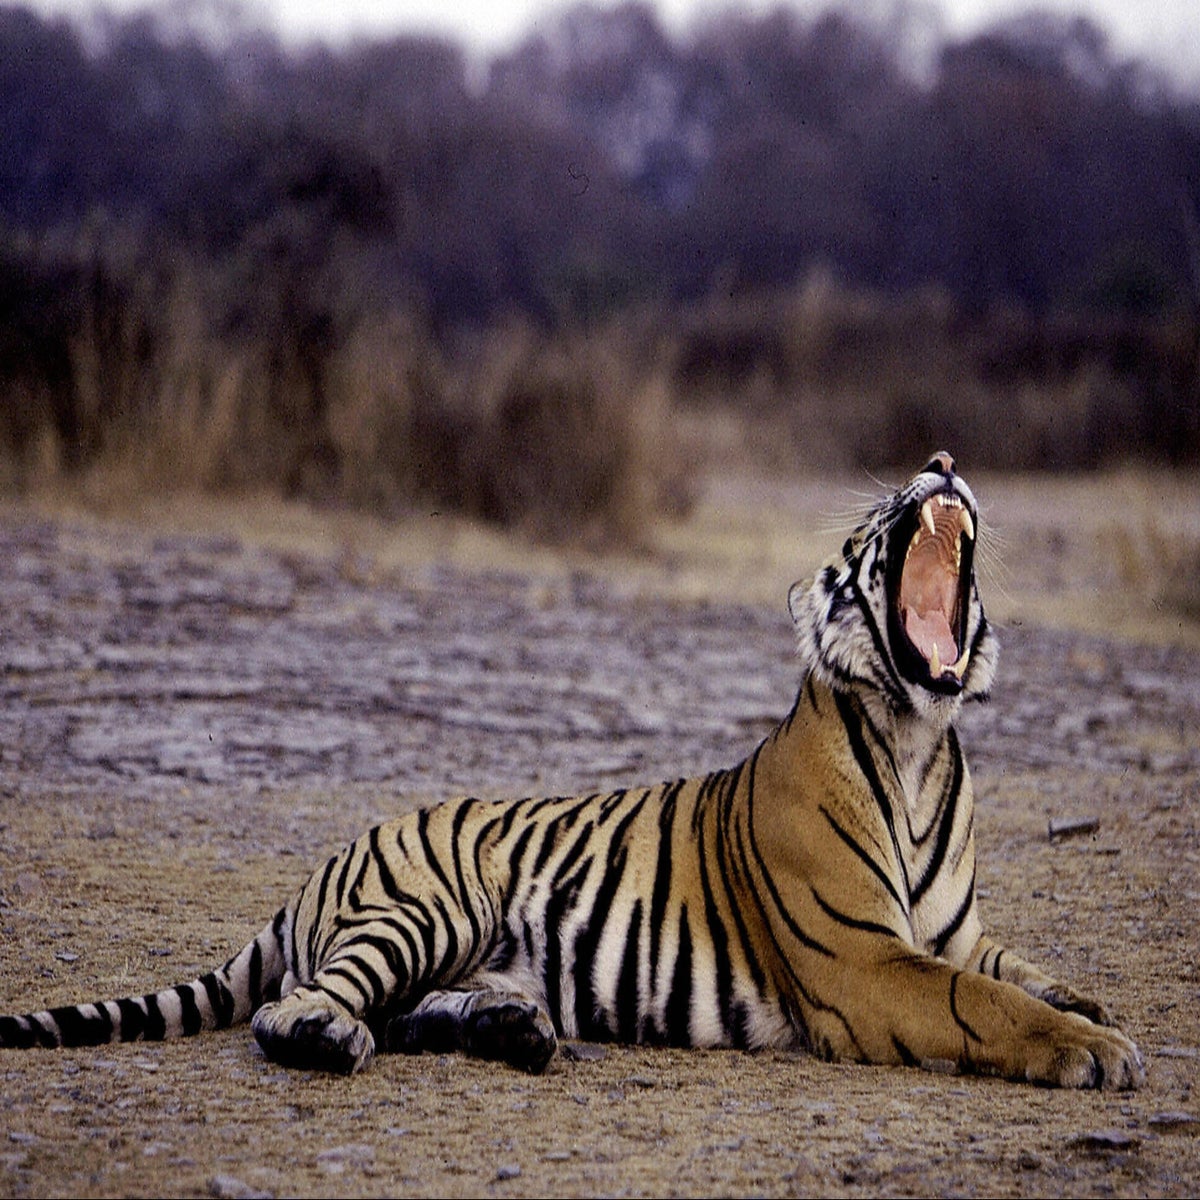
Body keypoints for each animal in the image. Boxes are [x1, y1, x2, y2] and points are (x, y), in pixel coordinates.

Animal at [0, 451, 1142, 1089]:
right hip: (428, 905)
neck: (916, 740)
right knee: (304, 1007)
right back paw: (341, 1039)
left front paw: (1091, 1007)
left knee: (407, 1013)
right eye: (873, 520)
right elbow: (981, 1003)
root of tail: (325, 863)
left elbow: (1019, 969)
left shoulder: (953, 934)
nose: (940, 460)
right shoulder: (863, 961)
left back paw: (514, 1031)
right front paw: (1097, 1050)